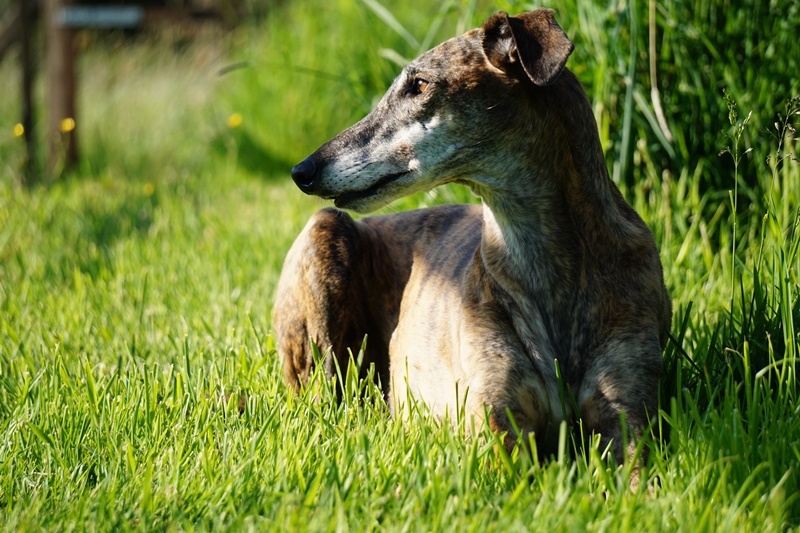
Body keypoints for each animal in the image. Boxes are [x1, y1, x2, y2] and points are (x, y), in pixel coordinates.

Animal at [273, 9, 671, 469]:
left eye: (419, 85)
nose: (302, 171)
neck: (546, 262)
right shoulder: (496, 430)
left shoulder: (629, 418)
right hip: (324, 238)